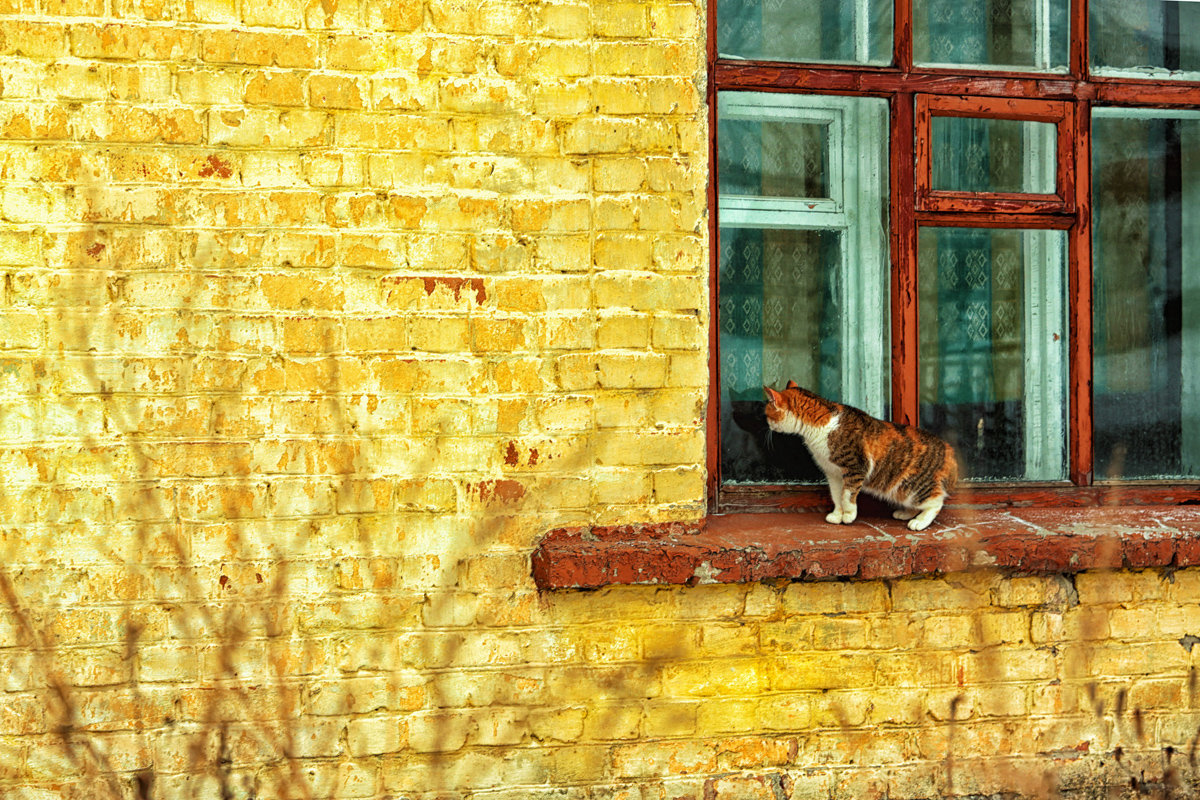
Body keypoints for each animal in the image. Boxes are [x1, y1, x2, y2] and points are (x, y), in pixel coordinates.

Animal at [763, 381, 960, 532]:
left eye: (767, 414)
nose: (767, 425)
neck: (823, 424)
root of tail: (949, 451)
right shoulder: (833, 473)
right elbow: (836, 495)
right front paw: (837, 515)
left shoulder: (855, 468)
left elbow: (847, 495)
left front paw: (849, 515)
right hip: (902, 491)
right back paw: (905, 513)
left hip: (913, 487)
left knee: (936, 502)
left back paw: (919, 522)